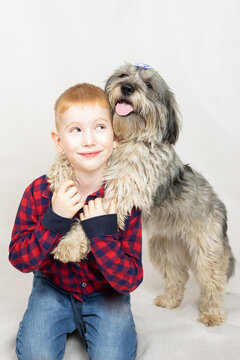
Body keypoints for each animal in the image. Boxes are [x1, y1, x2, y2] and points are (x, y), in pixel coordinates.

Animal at [50, 63, 234, 328]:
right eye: (123, 75)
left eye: (148, 84)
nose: (127, 87)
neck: (128, 139)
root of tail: (221, 206)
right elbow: (66, 160)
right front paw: (59, 172)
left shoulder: (122, 191)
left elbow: (94, 217)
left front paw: (71, 244)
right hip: (163, 250)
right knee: (179, 276)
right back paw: (170, 300)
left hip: (205, 251)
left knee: (213, 281)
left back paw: (212, 313)